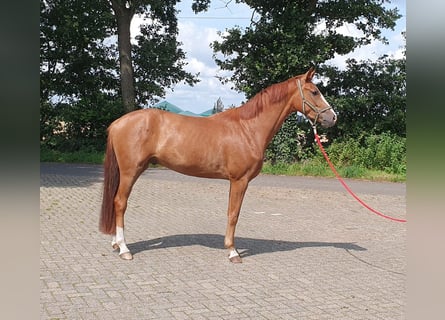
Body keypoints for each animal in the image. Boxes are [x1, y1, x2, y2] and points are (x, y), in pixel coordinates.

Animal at [99, 67, 336, 262]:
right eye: (314, 92)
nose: (333, 117)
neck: (248, 129)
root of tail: (118, 123)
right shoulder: (239, 180)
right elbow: (234, 214)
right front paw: (233, 252)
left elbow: (231, 212)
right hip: (131, 171)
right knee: (120, 202)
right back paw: (124, 249)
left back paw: (115, 243)